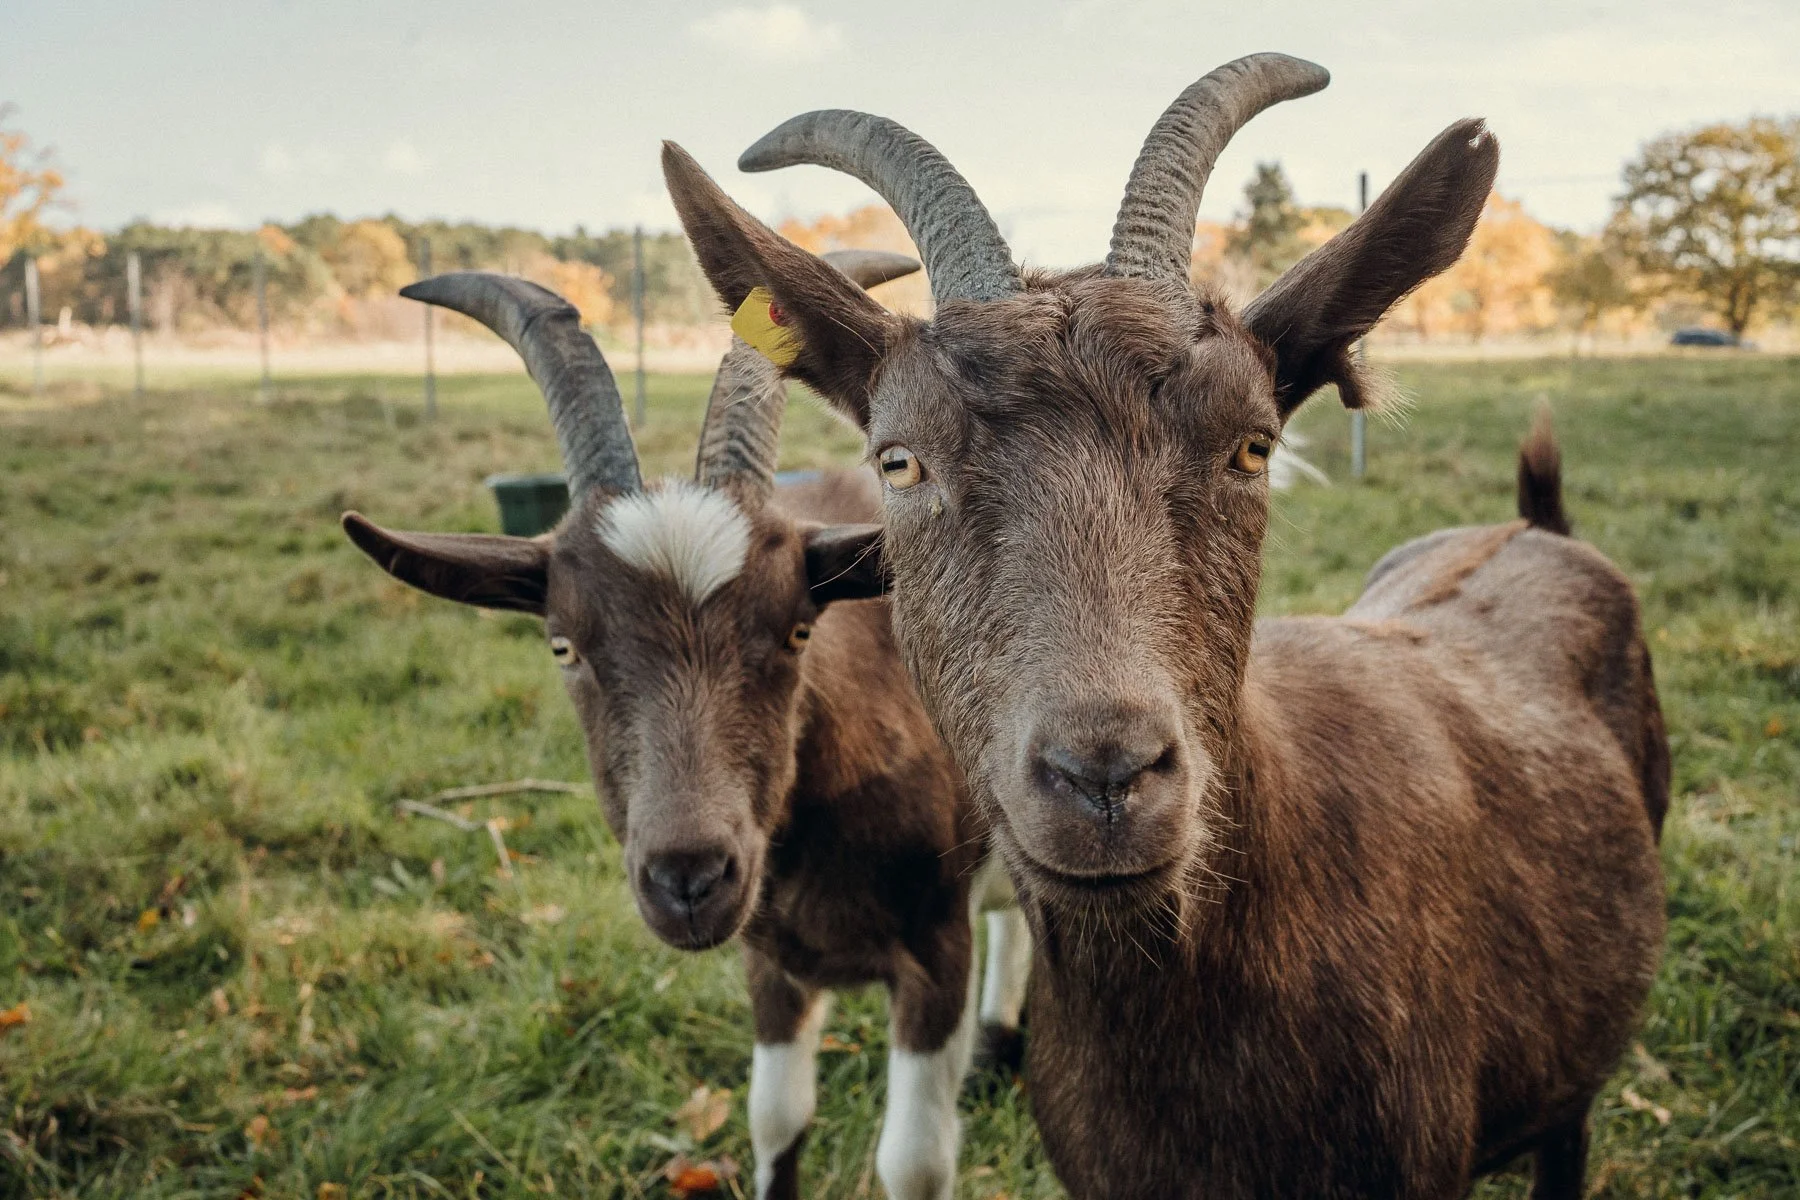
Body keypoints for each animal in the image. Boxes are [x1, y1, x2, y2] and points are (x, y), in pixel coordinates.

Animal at [339, 250, 1030, 1200]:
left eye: (798, 628)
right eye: (563, 646)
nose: (689, 878)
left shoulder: (934, 949)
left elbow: (913, 1162)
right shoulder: (769, 959)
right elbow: (776, 1118)